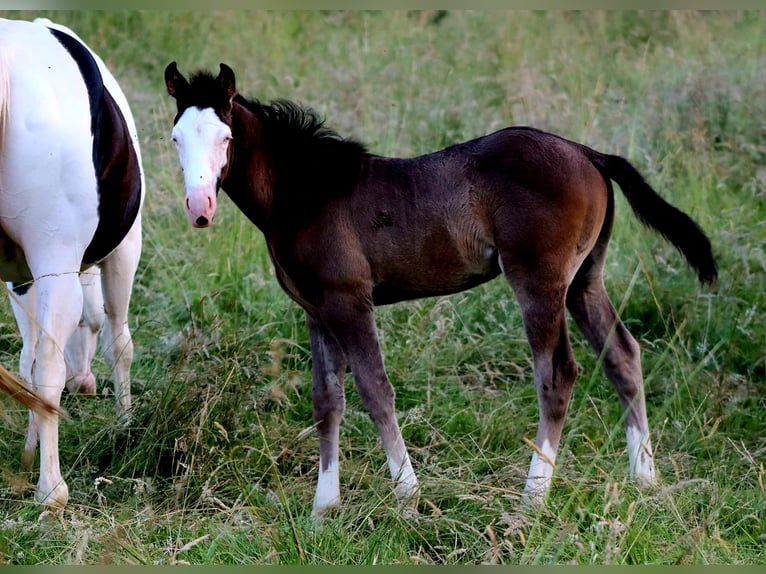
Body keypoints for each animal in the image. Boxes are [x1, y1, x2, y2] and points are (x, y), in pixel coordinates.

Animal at [0, 17, 144, 509]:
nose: (85, 382)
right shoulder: (114, 253)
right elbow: (113, 344)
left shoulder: (29, 277)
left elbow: (31, 363)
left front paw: (32, 461)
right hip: (58, 261)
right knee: (48, 363)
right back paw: (47, 483)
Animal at [164, 61, 717, 519]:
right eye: (174, 137)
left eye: (225, 136)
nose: (199, 207)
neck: (306, 193)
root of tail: (587, 152)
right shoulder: (315, 310)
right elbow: (327, 401)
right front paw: (324, 510)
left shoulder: (349, 301)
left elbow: (375, 391)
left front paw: (408, 497)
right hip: (584, 278)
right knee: (622, 354)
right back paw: (644, 480)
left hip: (540, 280)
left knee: (558, 373)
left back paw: (532, 500)